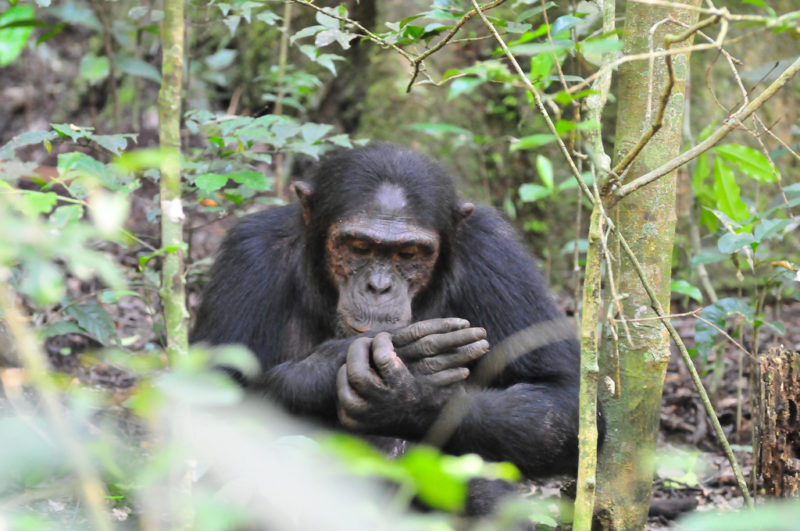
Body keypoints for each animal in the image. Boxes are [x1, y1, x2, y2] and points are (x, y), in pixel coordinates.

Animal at [192, 143, 608, 512]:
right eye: (358, 247)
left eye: (408, 254)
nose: (379, 287)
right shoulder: (249, 256)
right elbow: (210, 403)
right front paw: (322, 369)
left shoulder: (496, 252)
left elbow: (565, 395)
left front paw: (411, 399)